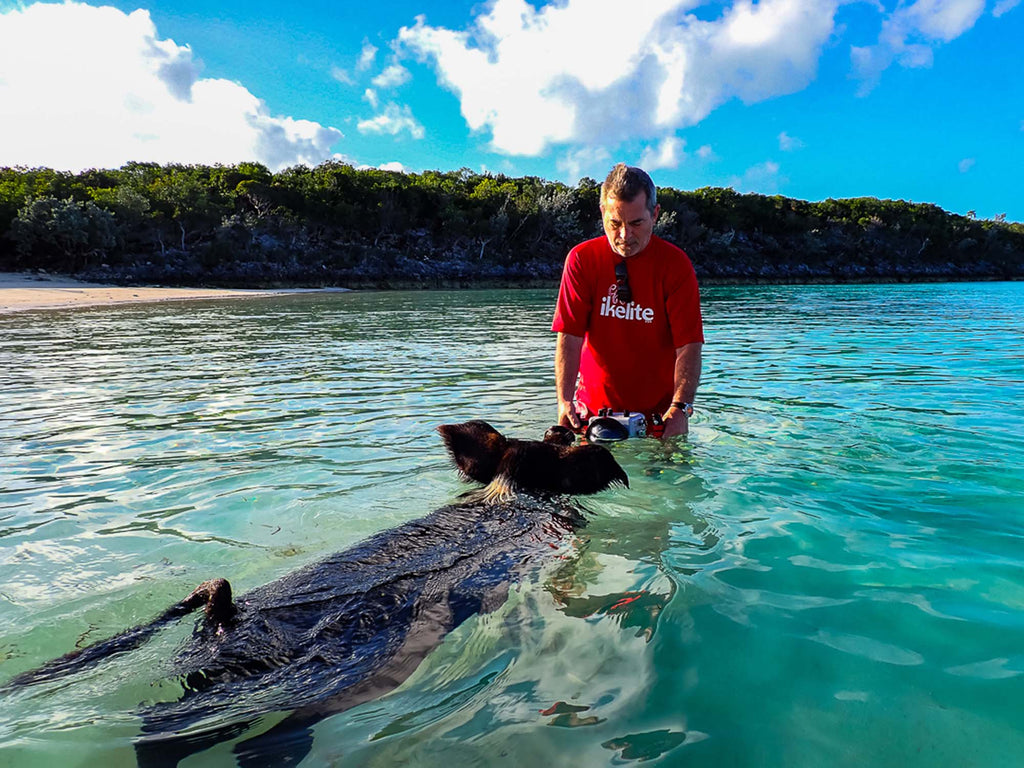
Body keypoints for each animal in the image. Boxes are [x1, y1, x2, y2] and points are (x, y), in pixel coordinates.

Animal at [8, 423, 626, 765]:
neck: (507, 493)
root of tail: (226, 615)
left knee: (158, 724)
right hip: (326, 684)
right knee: (221, 737)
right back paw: (266, 755)